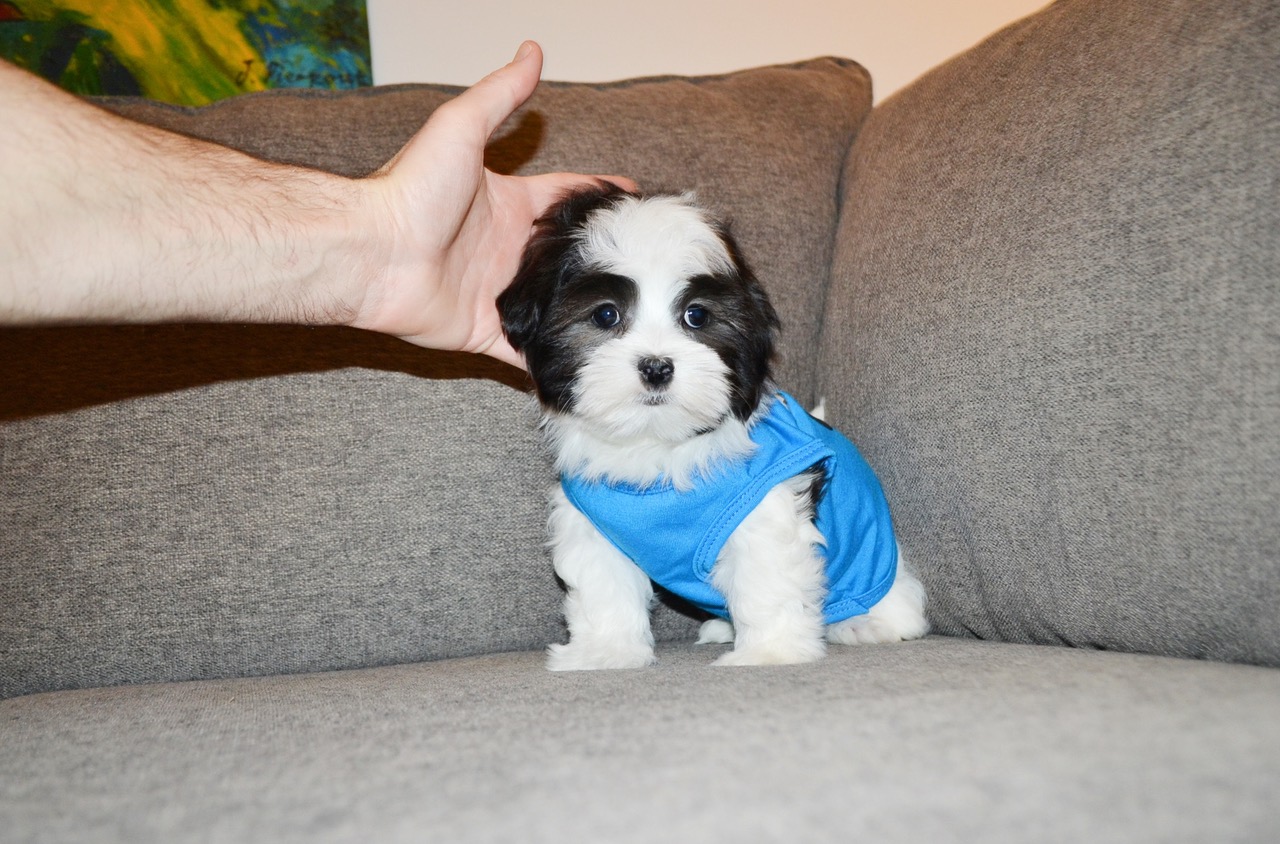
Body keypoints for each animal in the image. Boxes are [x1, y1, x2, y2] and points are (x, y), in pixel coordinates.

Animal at [494, 186, 926, 671]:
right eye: (606, 315)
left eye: (696, 316)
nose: (657, 367)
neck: (657, 448)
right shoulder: (592, 529)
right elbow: (605, 587)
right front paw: (607, 652)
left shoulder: (764, 507)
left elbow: (767, 580)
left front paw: (770, 653)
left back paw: (868, 623)